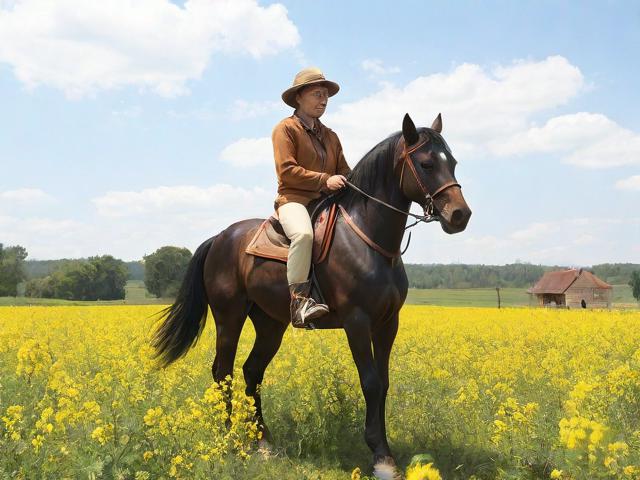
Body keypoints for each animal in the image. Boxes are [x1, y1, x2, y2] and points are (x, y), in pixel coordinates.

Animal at [151, 113, 472, 478]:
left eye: (453, 163)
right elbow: (371, 382)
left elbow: (384, 382)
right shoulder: (357, 321)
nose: (460, 215)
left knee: (252, 371)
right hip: (229, 317)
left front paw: (387, 453)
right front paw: (379, 455)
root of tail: (219, 237)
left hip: (270, 323)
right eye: (426, 163)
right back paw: (229, 439)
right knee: (223, 372)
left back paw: (263, 442)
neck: (370, 239)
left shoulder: (388, 323)